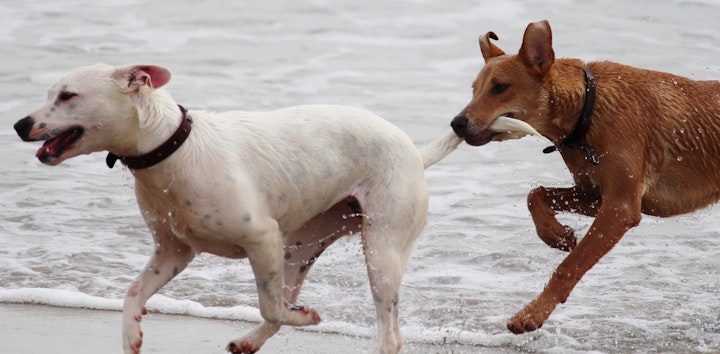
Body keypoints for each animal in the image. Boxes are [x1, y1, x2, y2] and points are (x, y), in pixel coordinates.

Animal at [14, 64, 464, 354]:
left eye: (67, 96)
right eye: (51, 94)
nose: (19, 124)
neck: (174, 150)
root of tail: (414, 152)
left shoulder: (261, 239)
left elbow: (271, 306)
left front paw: (306, 319)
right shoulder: (173, 252)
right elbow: (133, 292)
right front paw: (130, 336)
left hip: (381, 250)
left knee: (387, 334)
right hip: (299, 246)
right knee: (285, 298)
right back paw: (248, 342)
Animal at [452, 20, 720, 336]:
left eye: (500, 87)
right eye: (474, 89)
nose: (456, 123)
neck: (587, 110)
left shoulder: (621, 207)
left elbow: (571, 265)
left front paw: (532, 313)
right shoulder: (594, 194)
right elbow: (535, 194)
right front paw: (557, 234)